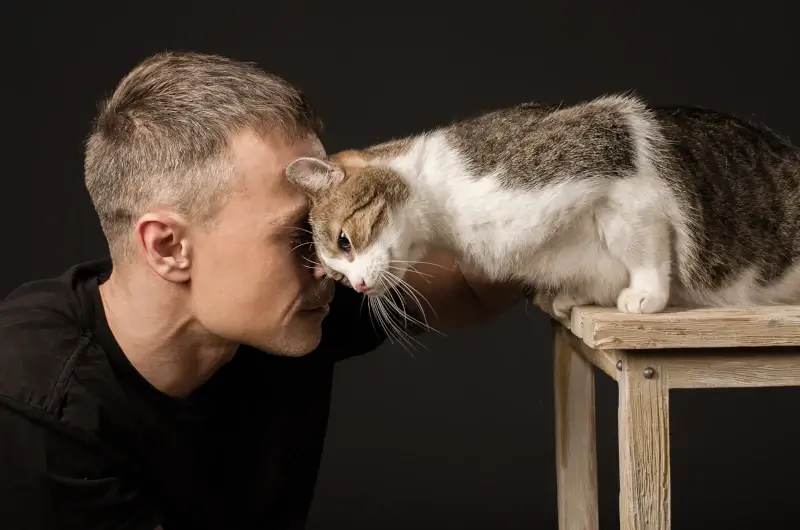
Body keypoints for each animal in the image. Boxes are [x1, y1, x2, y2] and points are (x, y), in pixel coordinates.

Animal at [286, 93, 800, 320]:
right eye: (335, 277)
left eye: (345, 240)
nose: (359, 285)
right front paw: (574, 295)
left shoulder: (612, 138)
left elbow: (643, 242)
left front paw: (647, 294)